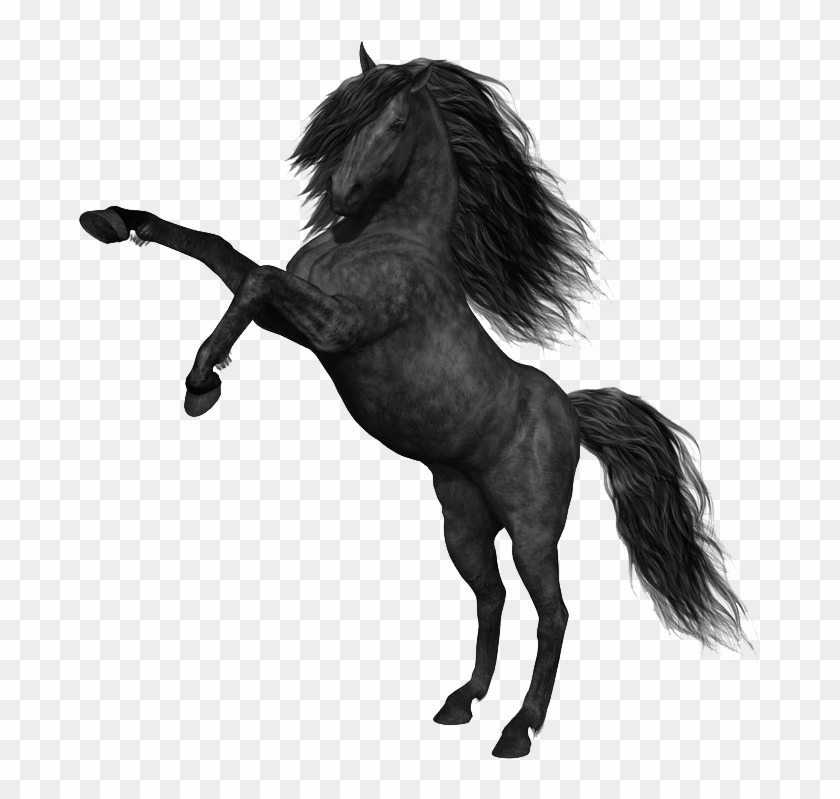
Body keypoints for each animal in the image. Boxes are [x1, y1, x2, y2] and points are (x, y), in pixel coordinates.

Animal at [79, 44, 749, 758]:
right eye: (344, 121)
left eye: (396, 123)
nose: (340, 194)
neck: (389, 239)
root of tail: (570, 410)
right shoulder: (302, 325)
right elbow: (223, 254)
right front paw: (113, 222)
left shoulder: (338, 328)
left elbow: (257, 277)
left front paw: (201, 383)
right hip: (464, 520)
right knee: (491, 597)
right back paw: (463, 702)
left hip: (533, 528)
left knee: (554, 612)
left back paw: (518, 729)